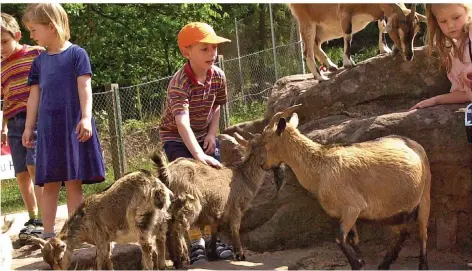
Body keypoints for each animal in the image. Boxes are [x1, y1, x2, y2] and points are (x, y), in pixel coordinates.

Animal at [29, 169, 173, 270]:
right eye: (47, 262)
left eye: (59, 258)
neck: (84, 221)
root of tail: (156, 188)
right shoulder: (108, 240)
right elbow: (108, 259)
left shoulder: (101, 238)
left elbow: (99, 260)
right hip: (161, 221)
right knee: (160, 243)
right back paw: (162, 265)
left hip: (140, 221)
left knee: (147, 248)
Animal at [152, 133, 268, 268]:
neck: (244, 177)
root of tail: (167, 174)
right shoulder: (236, 207)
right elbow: (235, 228)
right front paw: (240, 254)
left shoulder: (216, 208)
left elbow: (214, 229)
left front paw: (213, 252)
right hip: (189, 202)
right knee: (178, 229)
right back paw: (181, 260)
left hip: (169, 206)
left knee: (167, 231)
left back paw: (176, 261)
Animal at [260, 104, 434, 270]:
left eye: (266, 140)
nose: (263, 165)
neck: (320, 167)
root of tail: (414, 144)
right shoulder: (346, 213)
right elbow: (353, 239)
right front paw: (361, 261)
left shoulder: (352, 207)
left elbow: (339, 238)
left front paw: (357, 263)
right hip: (397, 209)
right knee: (401, 233)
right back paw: (384, 264)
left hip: (425, 195)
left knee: (422, 233)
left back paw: (422, 265)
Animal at [292, 3, 428, 80]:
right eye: (399, 31)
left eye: (416, 31)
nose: (409, 56)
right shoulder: (344, 13)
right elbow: (348, 34)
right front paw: (348, 63)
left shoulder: (380, 13)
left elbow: (381, 25)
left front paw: (385, 49)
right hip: (307, 21)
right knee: (307, 50)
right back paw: (321, 77)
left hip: (325, 28)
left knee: (316, 43)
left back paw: (331, 66)